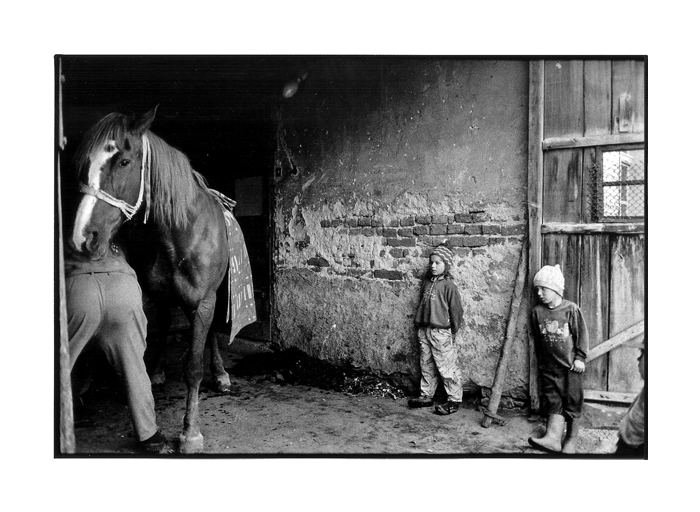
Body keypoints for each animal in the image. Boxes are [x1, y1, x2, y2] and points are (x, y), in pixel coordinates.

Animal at [68, 107, 258, 452]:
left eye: (124, 161)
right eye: (85, 163)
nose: (83, 237)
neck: (182, 231)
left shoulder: (204, 300)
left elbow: (193, 366)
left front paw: (191, 433)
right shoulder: (155, 293)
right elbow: (159, 332)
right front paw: (153, 374)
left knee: (212, 333)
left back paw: (221, 374)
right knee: (169, 321)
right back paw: (158, 371)